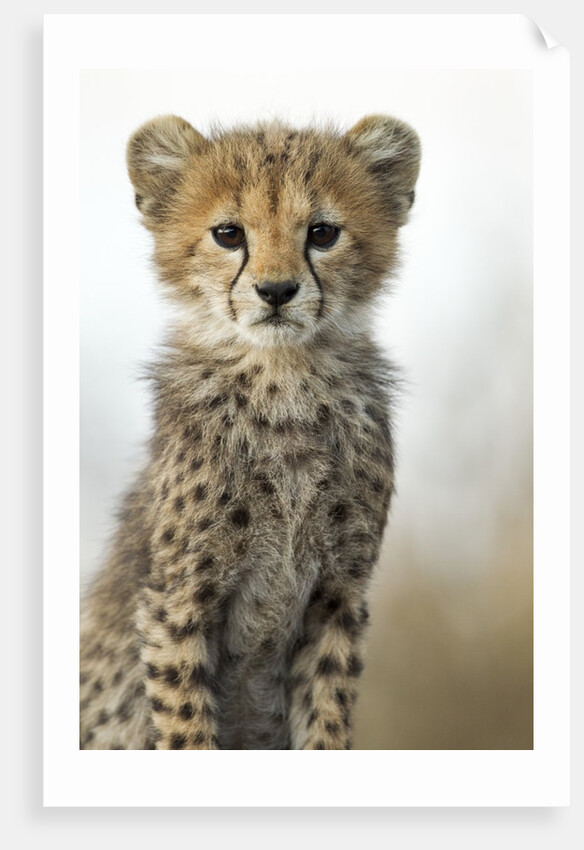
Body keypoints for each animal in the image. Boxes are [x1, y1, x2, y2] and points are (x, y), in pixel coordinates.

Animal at [80, 113, 421, 749]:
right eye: (229, 234)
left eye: (322, 233)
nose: (277, 290)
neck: (282, 379)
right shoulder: (175, 603)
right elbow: (187, 728)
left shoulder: (338, 598)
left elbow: (326, 721)